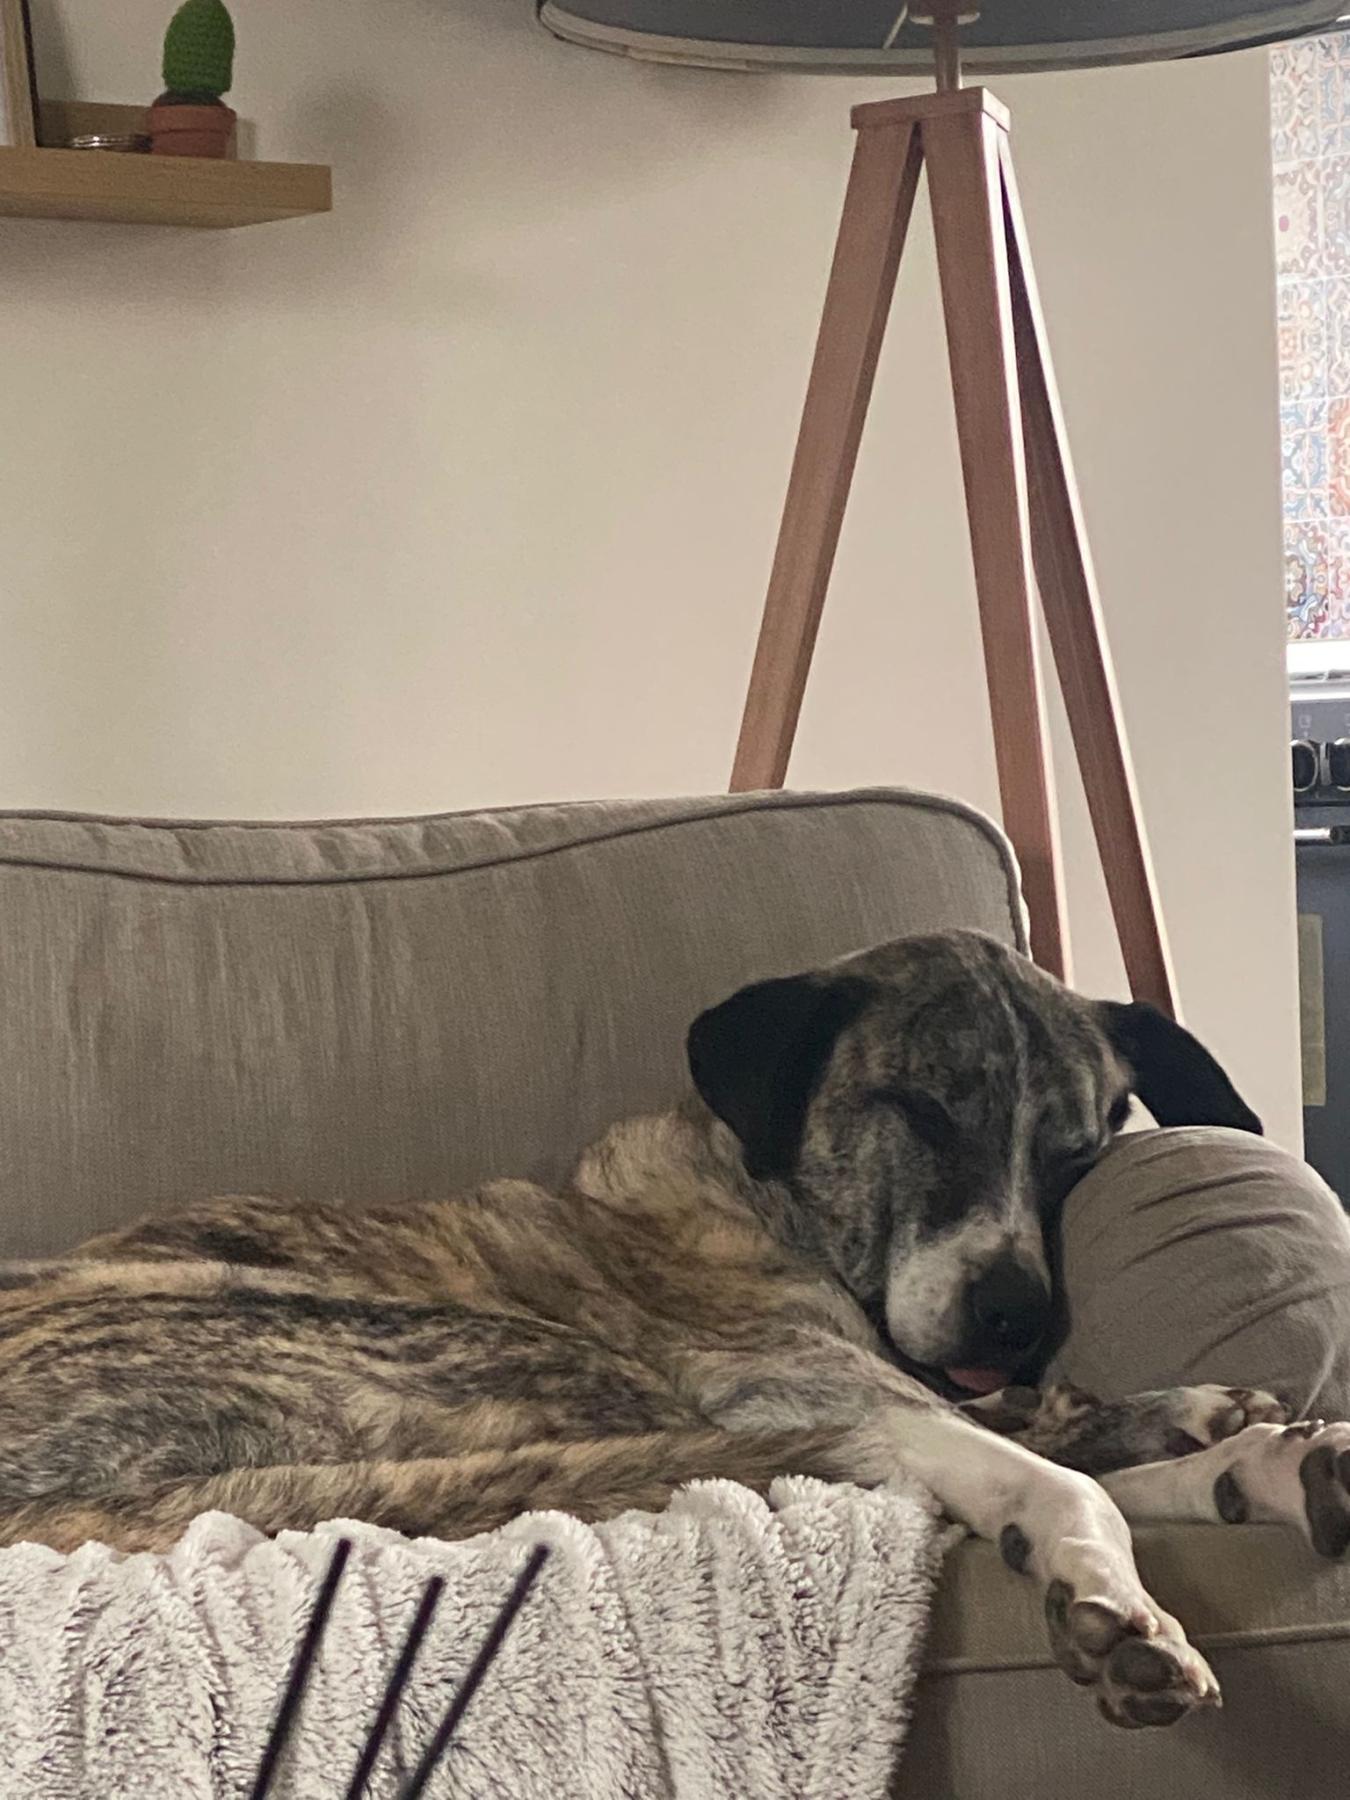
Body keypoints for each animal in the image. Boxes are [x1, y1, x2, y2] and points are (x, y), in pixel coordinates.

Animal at [0, 928, 1346, 1732]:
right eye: (918, 1110)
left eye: (1075, 1154)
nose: (1020, 1314)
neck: (758, 1195)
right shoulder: (805, 1389)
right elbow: (1052, 1476)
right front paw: (1111, 1586)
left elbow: (1052, 1442)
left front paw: (1229, 1446)